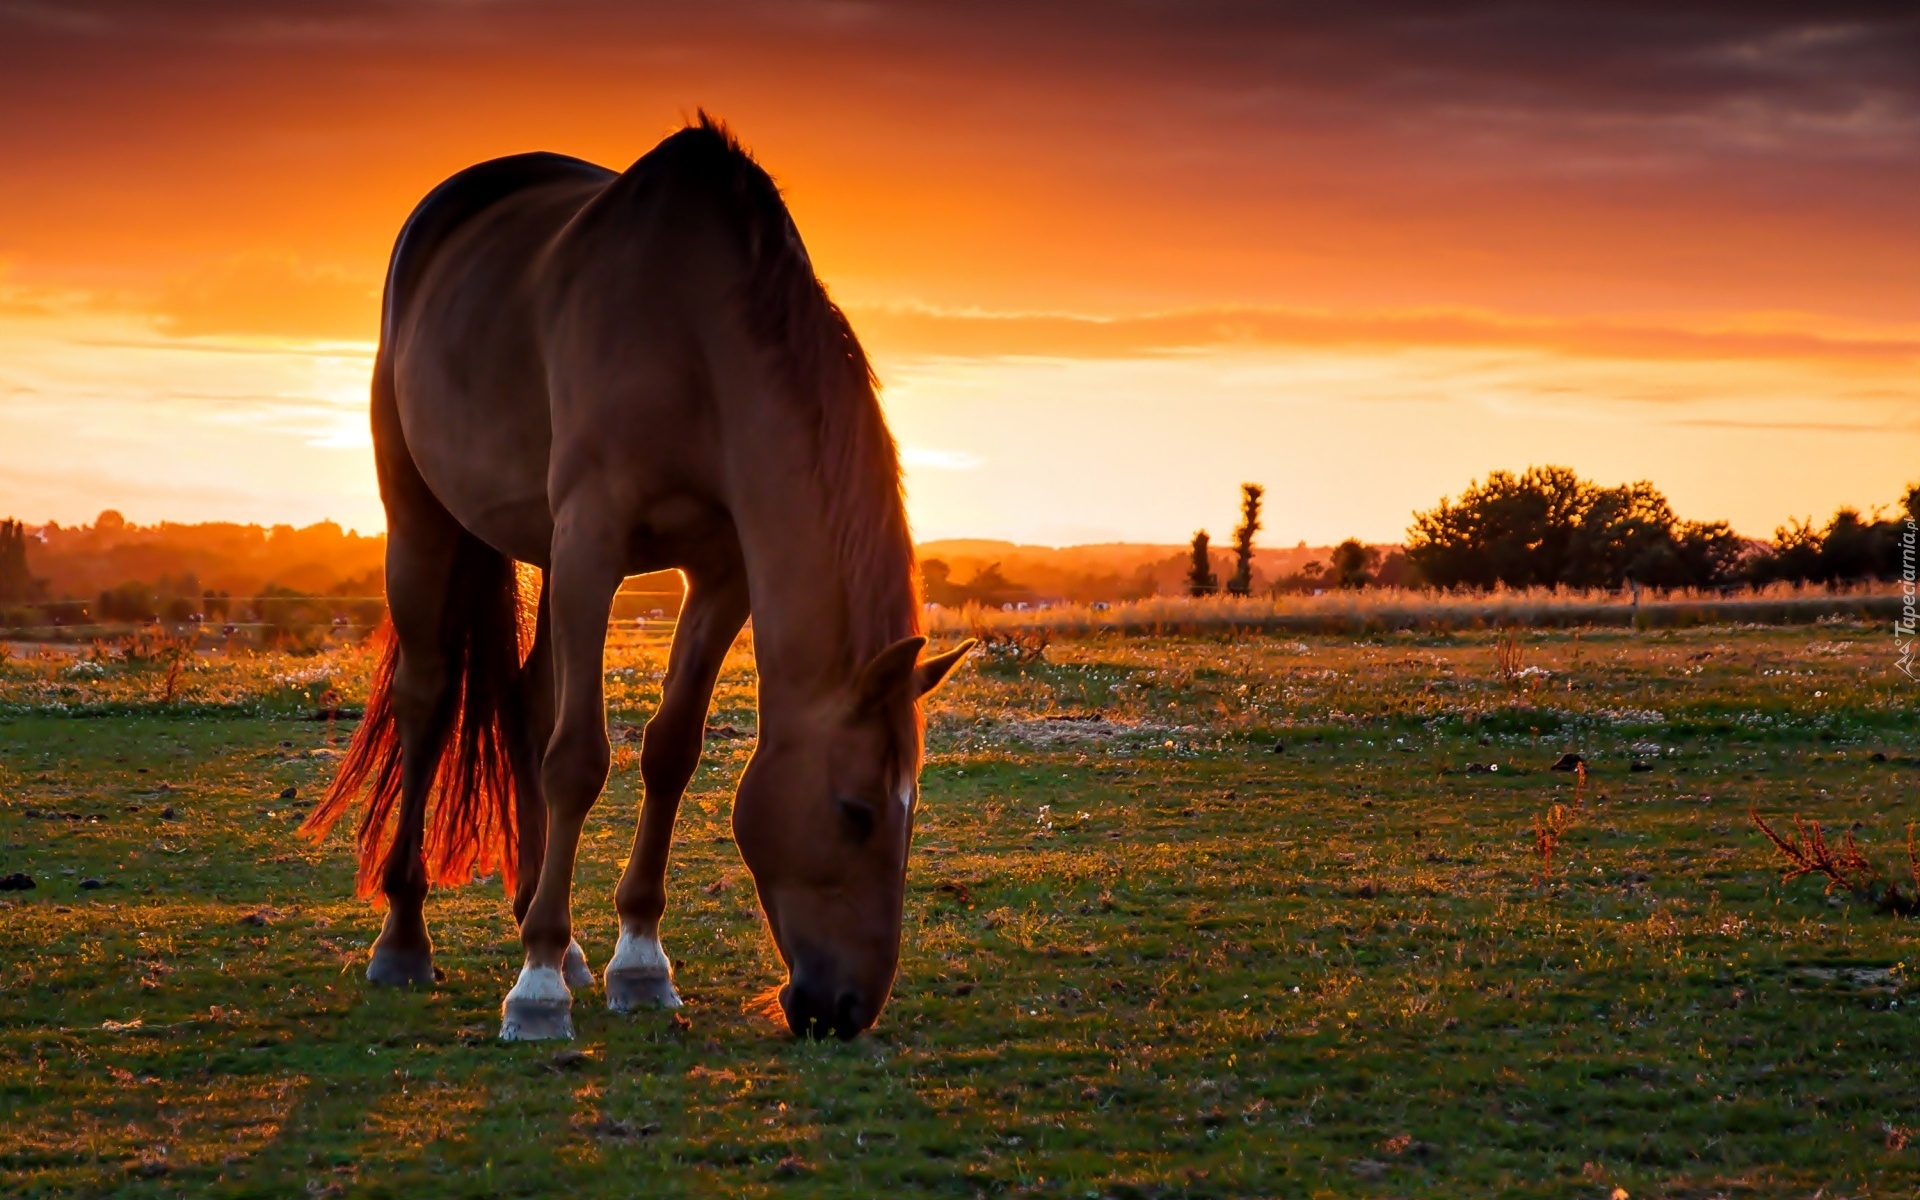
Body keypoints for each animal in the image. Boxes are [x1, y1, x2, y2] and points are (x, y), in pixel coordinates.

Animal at [307, 117, 983, 1044]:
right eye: (857, 812)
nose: (848, 1009)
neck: (695, 335)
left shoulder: (721, 573)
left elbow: (670, 749)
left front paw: (636, 962)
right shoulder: (594, 539)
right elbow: (578, 759)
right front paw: (537, 991)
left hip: (545, 551)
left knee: (527, 698)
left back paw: (554, 935)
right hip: (424, 519)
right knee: (428, 698)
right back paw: (408, 941)